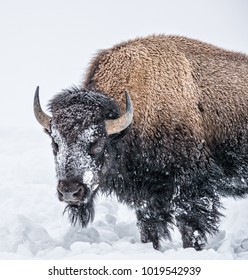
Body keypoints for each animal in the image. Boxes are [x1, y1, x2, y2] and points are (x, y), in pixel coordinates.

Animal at [33, 34, 248, 250]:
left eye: (97, 143)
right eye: (55, 143)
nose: (70, 191)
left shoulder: (190, 189)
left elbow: (189, 228)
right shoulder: (146, 195)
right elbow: (149, 226)